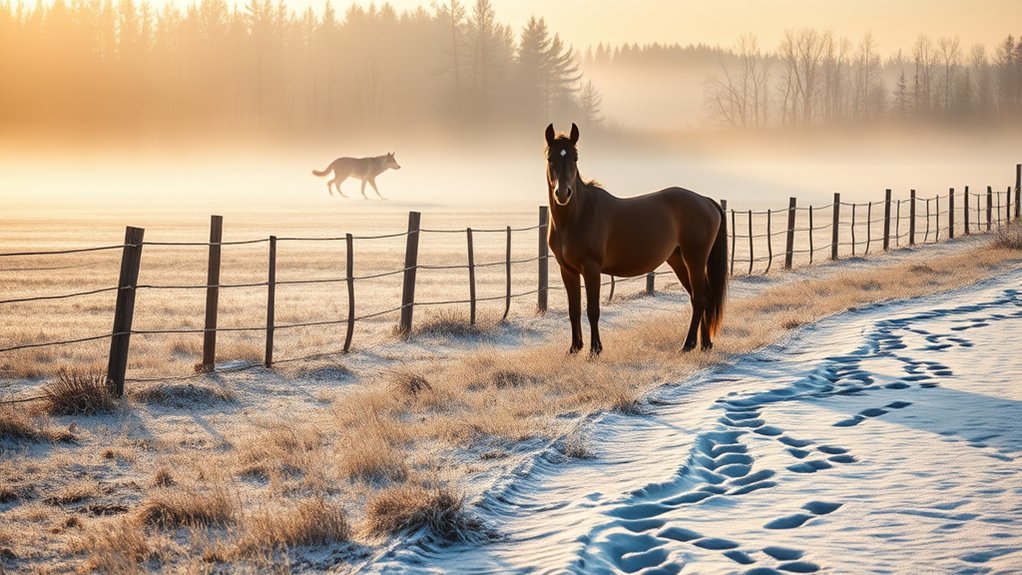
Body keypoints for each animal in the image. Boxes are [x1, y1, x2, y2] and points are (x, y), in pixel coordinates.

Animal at [544, 123, 728, 355]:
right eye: (551, 158)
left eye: (575, 158)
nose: (563, 193)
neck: (577, 216)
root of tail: (706, 200)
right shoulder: (567, 270)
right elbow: (573, 309)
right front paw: (574, 348)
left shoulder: (591, 268)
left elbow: (592, 309)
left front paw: (595, 350)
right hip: (679, 261)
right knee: (702, 297)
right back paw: (705, 344)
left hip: (694, 259)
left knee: (700, 298)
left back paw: (688, 344)